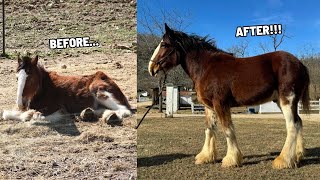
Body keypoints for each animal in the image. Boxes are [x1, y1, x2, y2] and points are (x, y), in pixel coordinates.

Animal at [1, 54, 132, 124]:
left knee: (124, 110)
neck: (44, 88)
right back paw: (86, 113)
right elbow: (6, 114)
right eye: (17, 78)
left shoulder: (55, 107)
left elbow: (36, 117)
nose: (21, 104)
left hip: (99, 91)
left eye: (31, 78)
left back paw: (109, 116)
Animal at [149, 23, 310, 169]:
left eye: (164, 44)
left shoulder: (220, 104)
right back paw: (298, 155)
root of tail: (300, 64)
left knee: (292, 125)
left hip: (287, 100)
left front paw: (231, 159)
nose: (151, 68)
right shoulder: (209, 107)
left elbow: (227, 129)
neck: (206, 67)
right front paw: (206, 157)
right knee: (299, 122)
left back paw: (283, 161)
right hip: (282, 101)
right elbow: (209, 129)